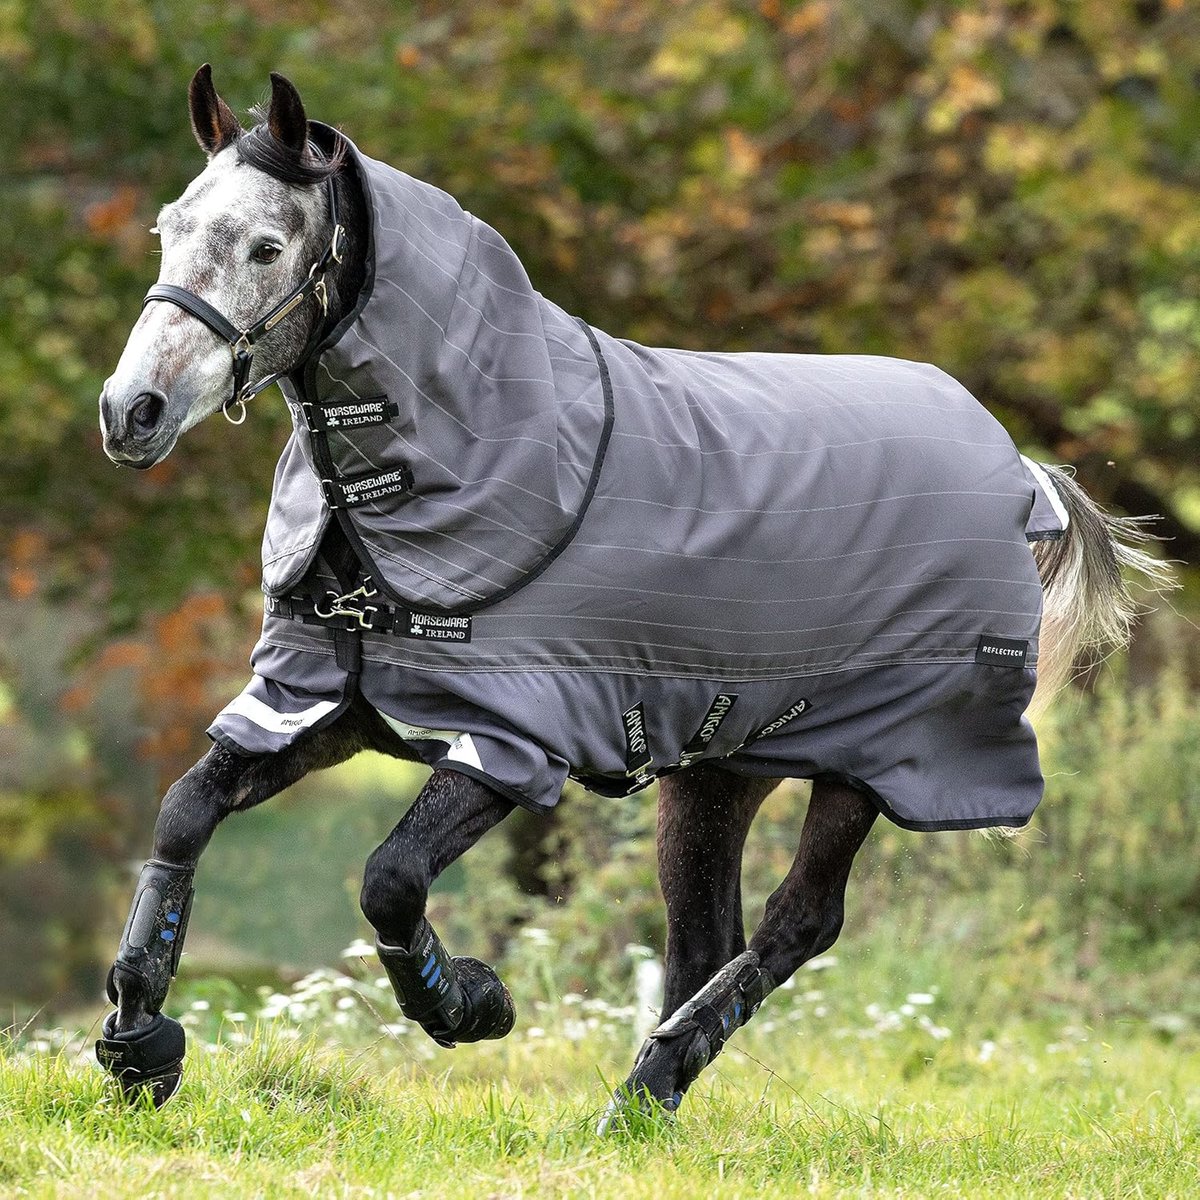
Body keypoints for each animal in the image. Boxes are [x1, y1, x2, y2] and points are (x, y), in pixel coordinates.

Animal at [94, 67, 1167, 1124]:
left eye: (268, 246)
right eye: (169, 228)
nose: (130, 412)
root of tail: (1020, 472)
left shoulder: (513, 738)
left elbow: (390, 880)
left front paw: (472, 1004)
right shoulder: (321, 704)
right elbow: (184, 815)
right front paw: (139, 1041)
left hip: (875, 761)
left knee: (797, 922)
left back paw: (645, 1086)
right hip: (721, 769)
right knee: (703, 937)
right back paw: (644, 1105)